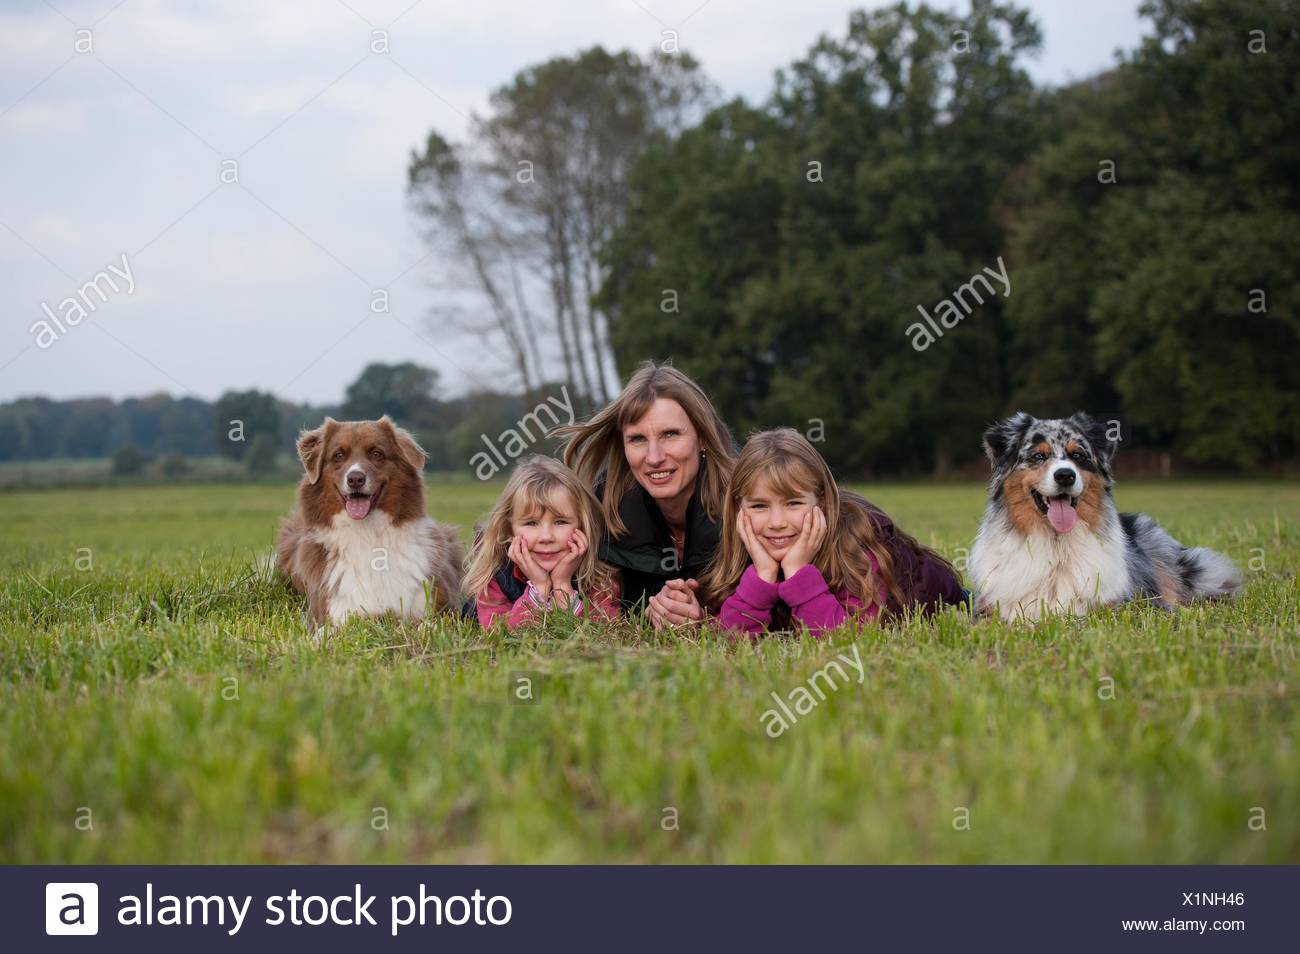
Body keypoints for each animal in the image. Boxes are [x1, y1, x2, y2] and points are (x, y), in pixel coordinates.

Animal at [276, 415, 465, 629]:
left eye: (377, 453)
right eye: (338, 455)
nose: (355, 479)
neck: (368, 534)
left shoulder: (442, 608)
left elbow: (430, 625)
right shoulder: (334, 613)